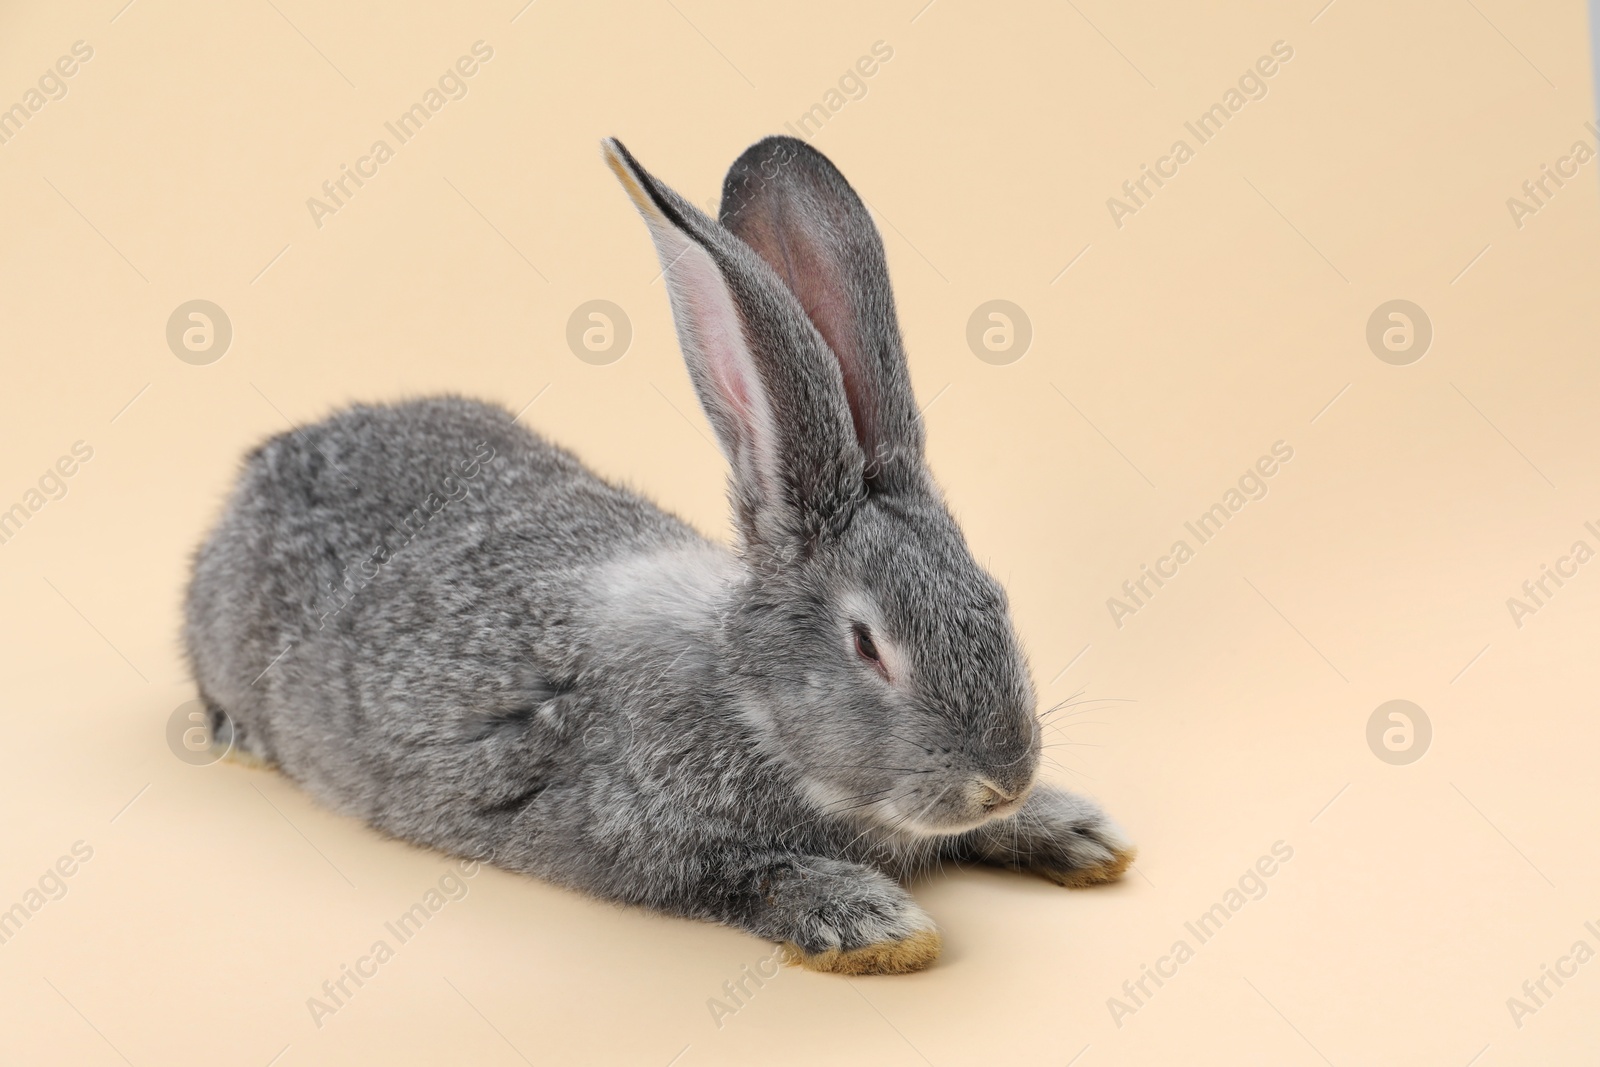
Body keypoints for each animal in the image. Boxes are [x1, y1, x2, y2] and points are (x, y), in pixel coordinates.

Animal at [187, 135, 1132, 979]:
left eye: (996, 598)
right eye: (868, 646)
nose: (1003, 779)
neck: (746, 698)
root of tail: (262, 467)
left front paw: (1078, 832)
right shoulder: (645, 841)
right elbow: (753, 876)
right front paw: (874, 923)